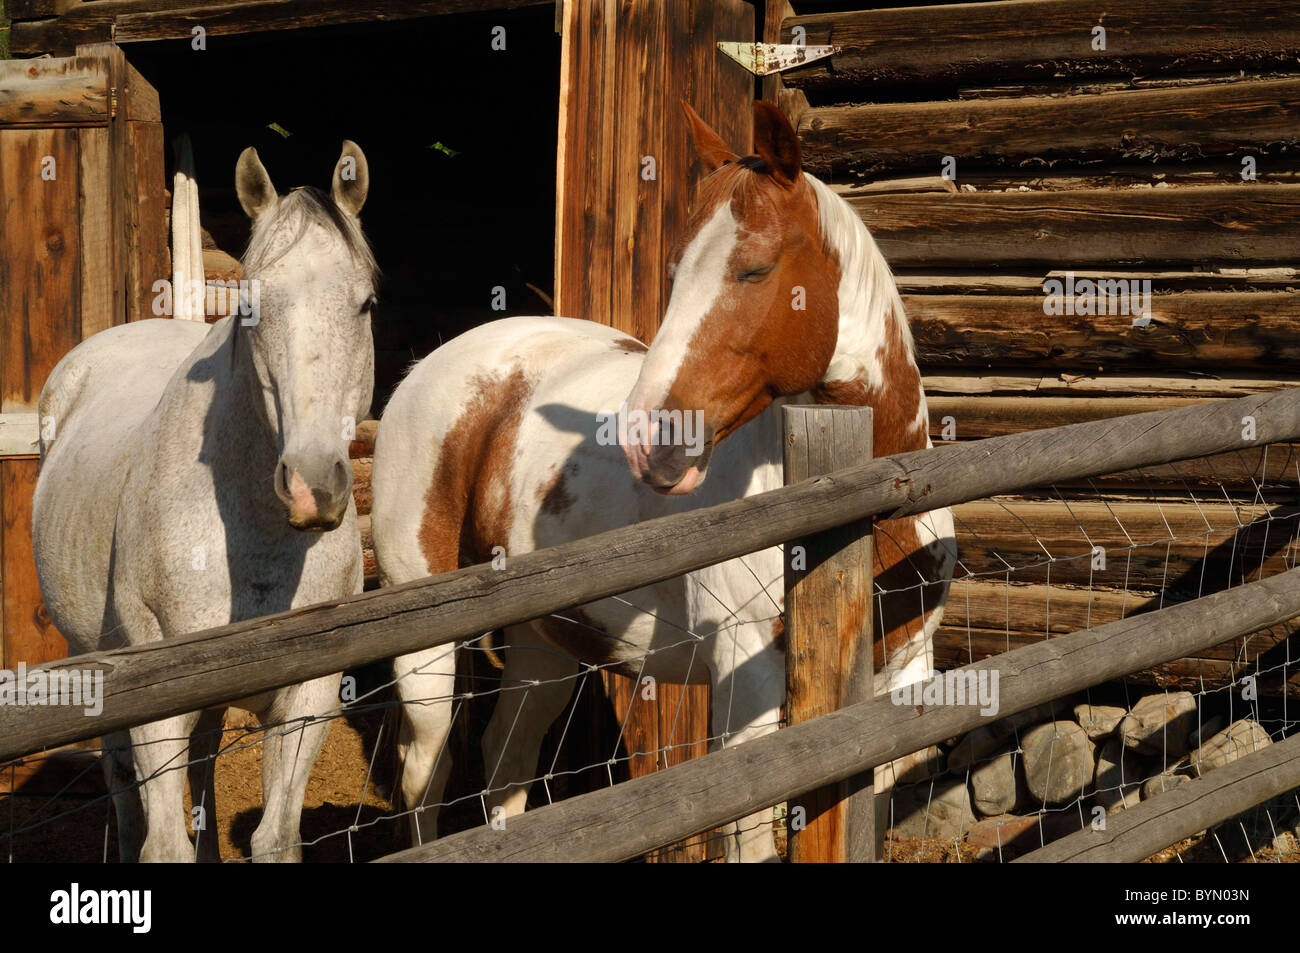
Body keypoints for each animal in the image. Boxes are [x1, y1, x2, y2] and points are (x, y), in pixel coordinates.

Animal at [32, 141, 377, 862]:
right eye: (252, 307)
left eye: (365, 303)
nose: (312, 484)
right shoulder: (155, 704)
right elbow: (165, 844)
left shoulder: (307, 697)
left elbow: (275, 835)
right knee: (120, 775)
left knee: (206, 758)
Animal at [370, 101, 955, 861]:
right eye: (676, 270)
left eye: (754, 270)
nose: (647, 436)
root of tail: (423, 369)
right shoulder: (748, 692)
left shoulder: (900, 678)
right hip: (426, 646)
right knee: (427, 774)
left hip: (544, 639)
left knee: (507, 760)